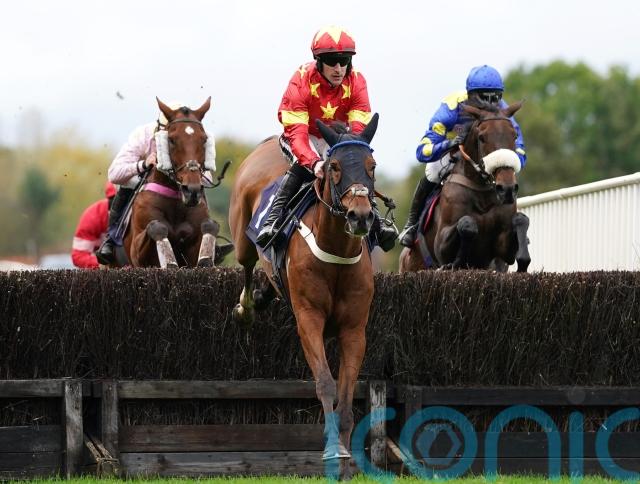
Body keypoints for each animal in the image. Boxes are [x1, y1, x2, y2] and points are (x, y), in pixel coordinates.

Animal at [123, 97, 230, 268]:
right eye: (171, 140)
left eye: (204, 139)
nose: (192, 191)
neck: (175, 202)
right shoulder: (137, 255)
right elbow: (156, 226)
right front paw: (170, 261)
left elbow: (210, 225)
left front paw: (206, 259)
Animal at [229, 115, 380, 468]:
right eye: (335, 166)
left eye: (372, 166)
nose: (361, 216)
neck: (335, 252)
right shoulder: (309, 320)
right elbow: (325, 382)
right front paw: (332, 450)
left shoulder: (354, 330)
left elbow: (347, 395)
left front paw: (346, 460)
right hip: (242, 238)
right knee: (247, 265)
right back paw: (246, 307)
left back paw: (262, 295)